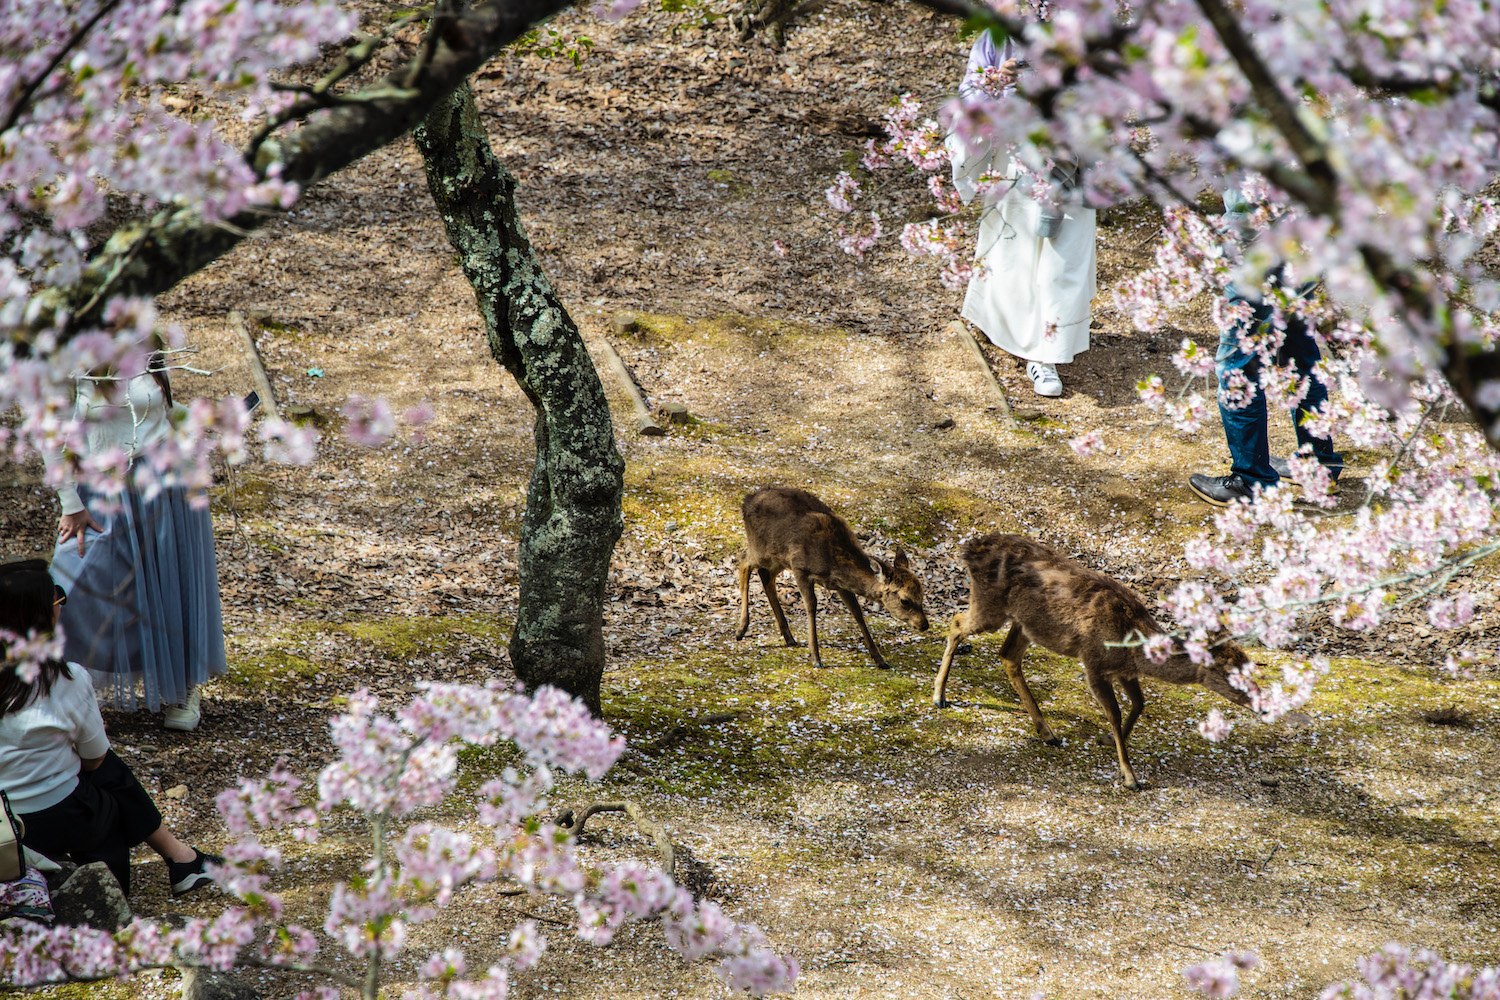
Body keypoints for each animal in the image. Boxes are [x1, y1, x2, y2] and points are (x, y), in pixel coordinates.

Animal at [735, 485, 930, 668]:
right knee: (744, 561)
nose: (924, 625)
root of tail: (746, 501)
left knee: (765, 575)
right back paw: (741, 630)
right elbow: (811, 606)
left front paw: (880, 660)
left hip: (778, 558)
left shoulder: (841, 585)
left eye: (922, 594)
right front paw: (816, 658)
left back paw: (788, 637)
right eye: (905, 600)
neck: (832, 564)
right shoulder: (800, 568)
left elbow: (857, 612)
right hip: (761, 548)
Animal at [936, 530, 1254, 791]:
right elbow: (1114, 712)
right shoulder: (1094, 662)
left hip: (1027, 624)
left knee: (1007, 655)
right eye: (1230, 672)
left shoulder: (1125, 671)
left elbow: (1139, 704)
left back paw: (1047, 733)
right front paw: (1130, 777)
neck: (1132, 643)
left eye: (1252, 666)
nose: (1258, 704)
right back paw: (939, 697)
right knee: (957, 622)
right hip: (990, 606)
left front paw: (1108, 740)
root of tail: (969, 547)